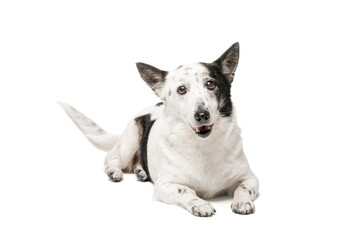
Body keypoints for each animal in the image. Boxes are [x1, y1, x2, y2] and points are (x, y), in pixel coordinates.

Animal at [60, 43, 260, 218]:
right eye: (181, 89)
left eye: (211, 84)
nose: (202, 115)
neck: (204, 145)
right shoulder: (165, 185)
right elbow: (185, 190)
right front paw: (200, 204)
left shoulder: (250, 178)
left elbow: (243, 188)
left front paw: (243, 202)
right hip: (129, 140)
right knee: (111, 159)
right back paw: (114, 172)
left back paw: (141, 171)